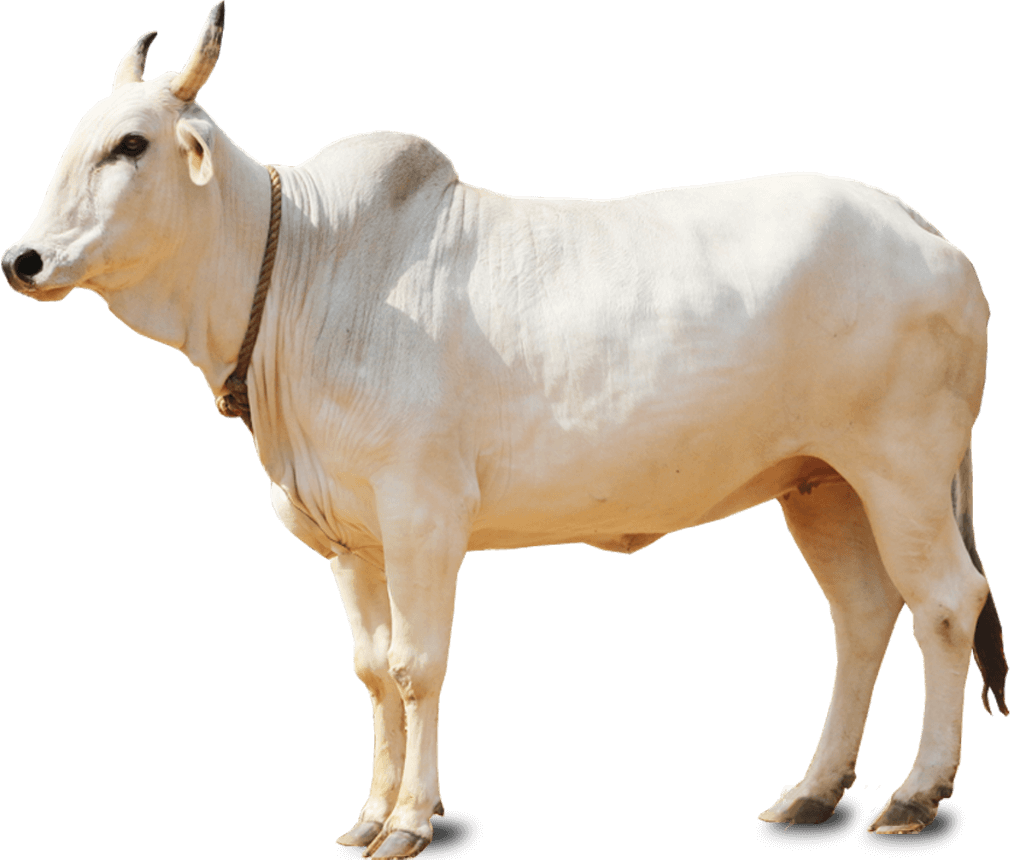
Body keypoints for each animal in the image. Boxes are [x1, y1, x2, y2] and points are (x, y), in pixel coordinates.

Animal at [3, 3, 1007, 857]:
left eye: (131, 144)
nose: (26, 259)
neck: (301, 269)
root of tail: (921, 229)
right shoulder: (349, 539)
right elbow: (372, 671)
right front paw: (368, 813)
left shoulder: (423, 512)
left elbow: (417, 665)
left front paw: (409, 821)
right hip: (821, 482)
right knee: (862, 617)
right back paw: (813, 793)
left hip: (903, 467)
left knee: (946, 603)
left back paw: (913, 797)